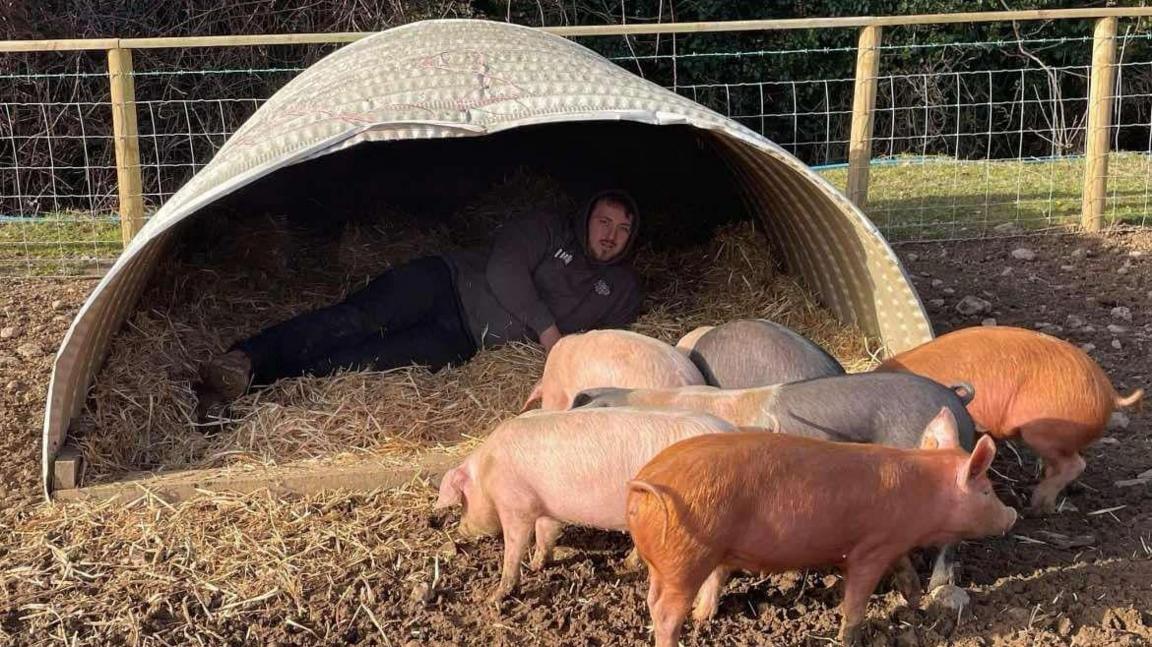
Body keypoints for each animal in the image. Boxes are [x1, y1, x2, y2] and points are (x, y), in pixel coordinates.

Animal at [433, 407, 737, 598]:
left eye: (462, 501)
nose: (460, 530)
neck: (487, 471)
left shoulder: (516, 505)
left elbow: (515, 546)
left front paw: (495, 597)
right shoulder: (547, 507)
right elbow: (546, 534)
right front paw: (537, 565)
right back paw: (626, 566)